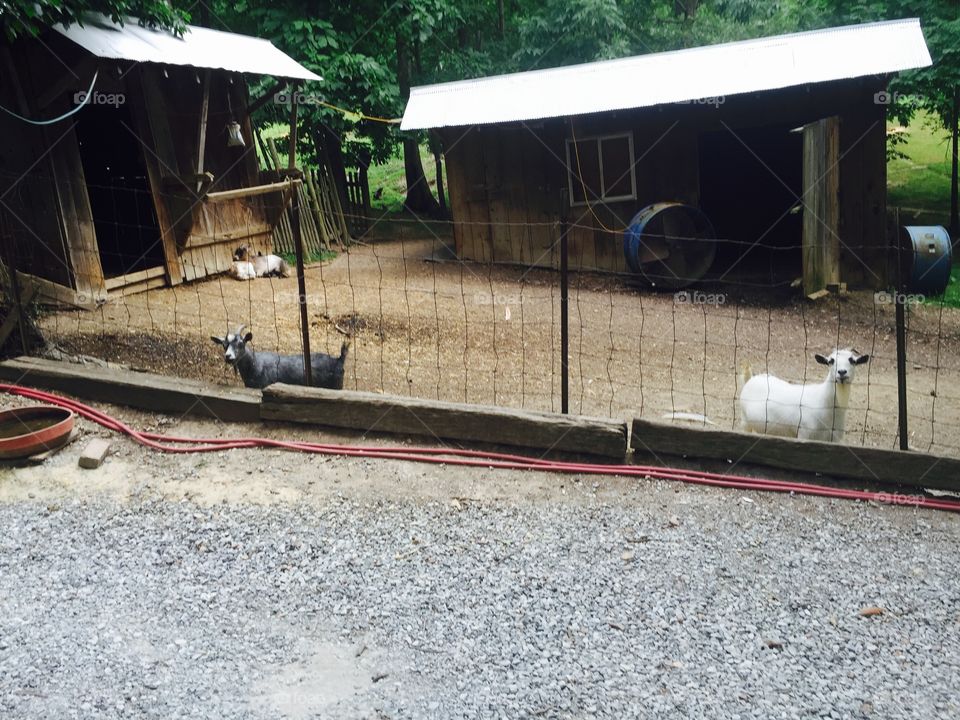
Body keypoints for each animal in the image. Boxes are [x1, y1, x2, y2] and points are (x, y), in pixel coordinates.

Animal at [210, 325, 349, 390]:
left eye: (240, 343)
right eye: (224, 345)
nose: (228, 356)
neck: (255, 364)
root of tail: (339, 360)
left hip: (336, 386)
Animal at [738, 348, 870, 442]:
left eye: (852, 360)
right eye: (830, 361)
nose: (842, 372)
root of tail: (751, 379)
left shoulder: (835, 439)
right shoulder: (804, 434)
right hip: (745, 421)